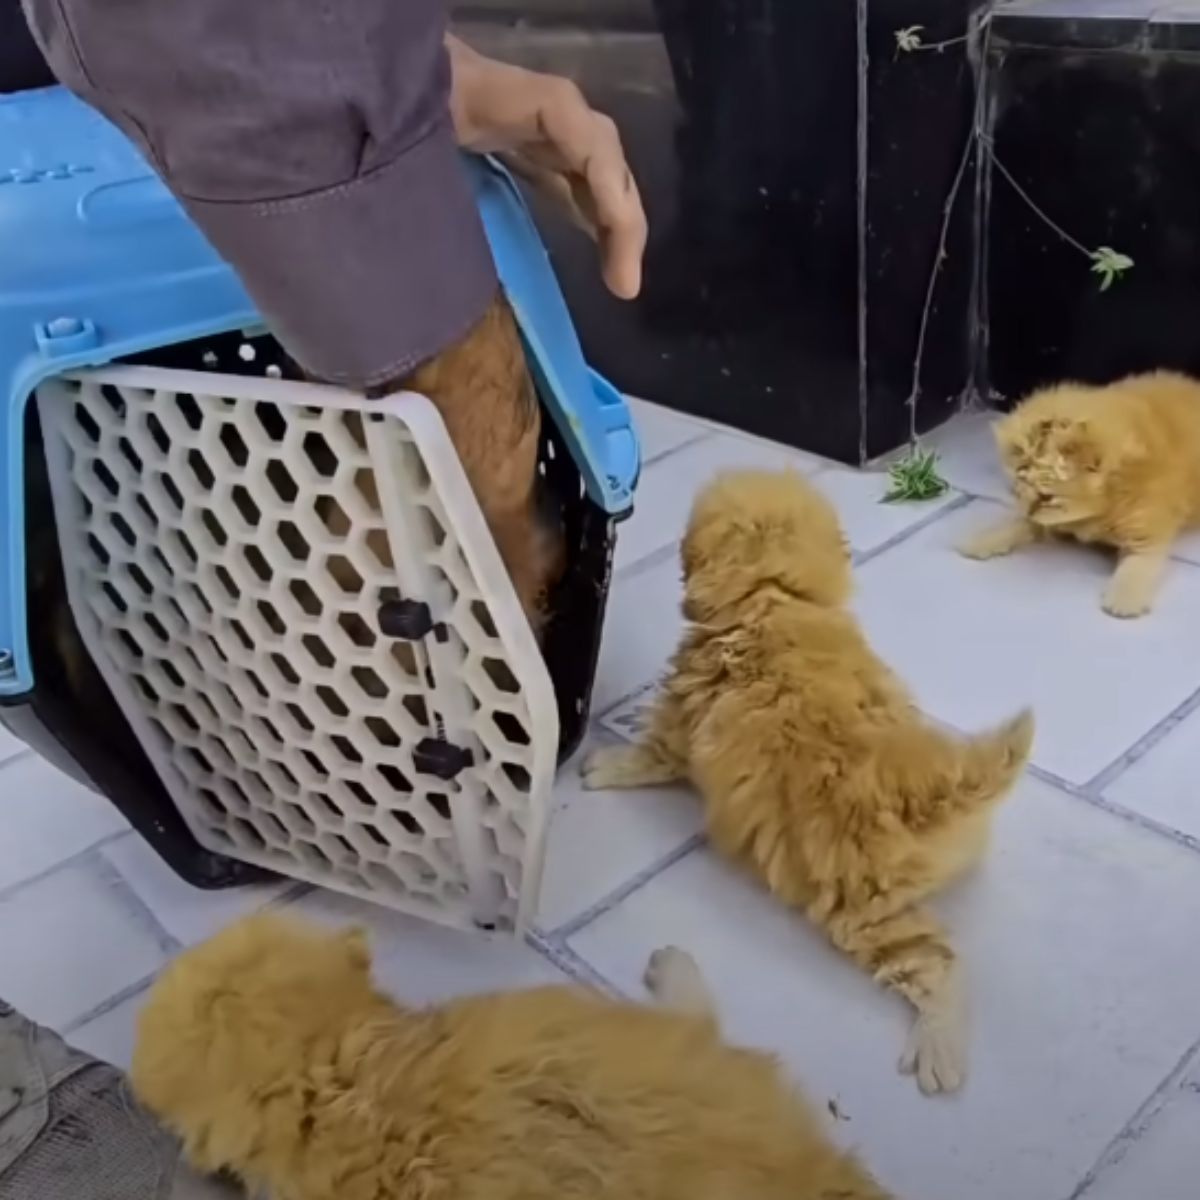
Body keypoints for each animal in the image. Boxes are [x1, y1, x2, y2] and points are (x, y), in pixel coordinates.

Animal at [580, 468, 1032, 1099]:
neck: (773, 595)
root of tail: (924, 789)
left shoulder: (682, 719)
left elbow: (651, 754)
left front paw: (605, 765)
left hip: (862, 912)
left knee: (938, 963)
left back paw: (937, 1049)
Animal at [960, 369, 1200, 619]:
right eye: (1020, 484)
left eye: (1047, 497)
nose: (1028, 509)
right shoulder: (1048, 519)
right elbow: (1018, 525)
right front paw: (983, 539)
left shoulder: (1146, 530)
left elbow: (1138, 563)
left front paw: (1124, 599)